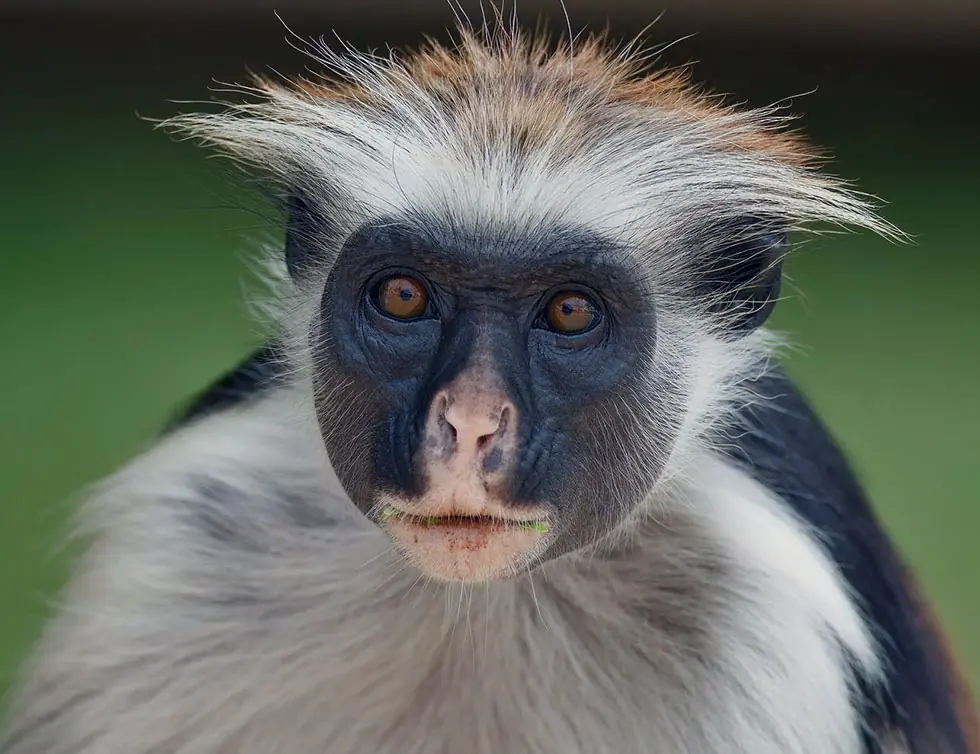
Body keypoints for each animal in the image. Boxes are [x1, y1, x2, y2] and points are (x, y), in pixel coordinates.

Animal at [1, 20, 976, 754]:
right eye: (403, 297)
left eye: (571, 313)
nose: (468, 426)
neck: (477, 602)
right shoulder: (179, 541)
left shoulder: (775, 625)